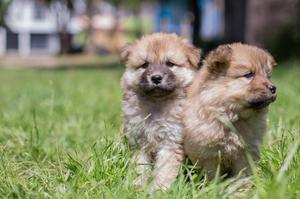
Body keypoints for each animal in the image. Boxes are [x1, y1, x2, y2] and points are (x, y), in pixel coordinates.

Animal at [120, 33, 202, 191]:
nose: (156, 78)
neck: (157, 103)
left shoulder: (171, 143)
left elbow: (164, 171)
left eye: (170, 64)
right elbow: (140, 167)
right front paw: (137, 187)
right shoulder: (139, 142)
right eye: (145, 65)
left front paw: (158, 190)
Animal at [184, 43, 278, 179]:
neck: (232, 117)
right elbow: (212, 175)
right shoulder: (208, 155)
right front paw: (215, 184)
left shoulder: (245, 153)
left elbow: (243, 173)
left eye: (267, 76)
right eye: (249, 75)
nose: (273, 88)